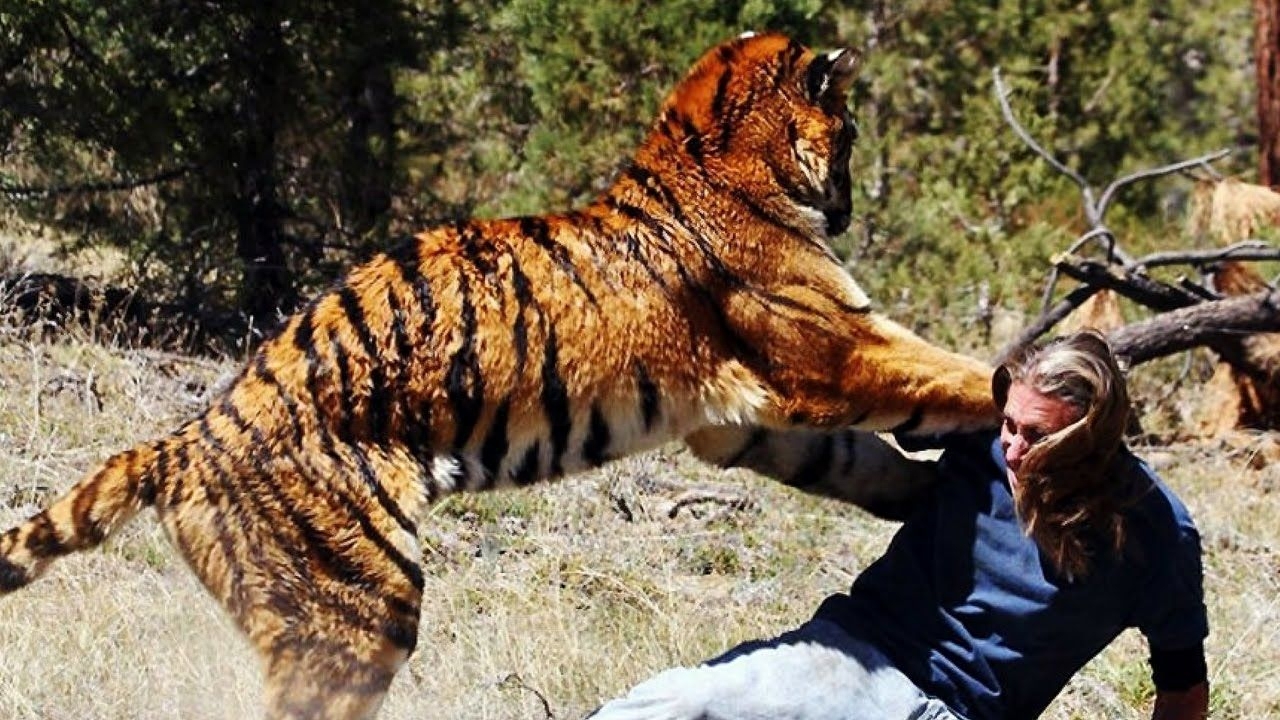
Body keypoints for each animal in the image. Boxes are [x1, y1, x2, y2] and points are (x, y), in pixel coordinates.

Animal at [0, 32, 996, 720]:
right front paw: (1018, 390)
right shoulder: (829, 349)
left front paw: (921, 495)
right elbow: (942, 371)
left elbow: (853, 461)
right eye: (853, 133)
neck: (709, 150)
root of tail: (187, 435)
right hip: (357, 606)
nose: (854, 203)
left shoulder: (736, 421)